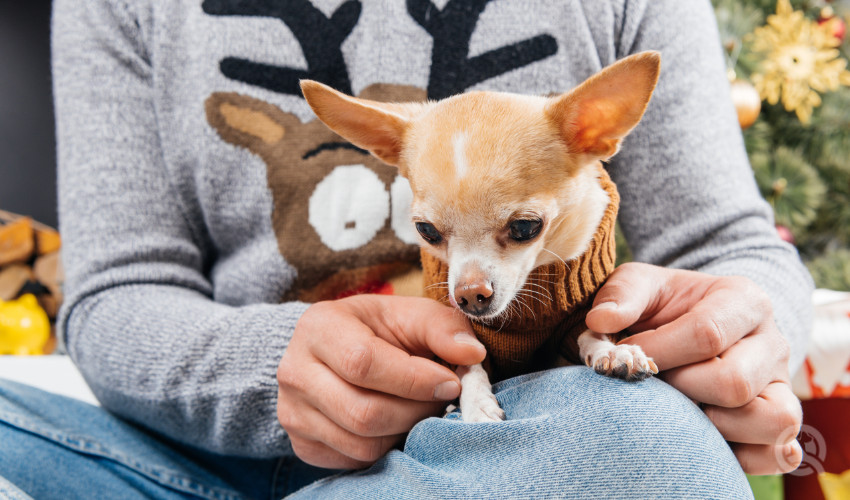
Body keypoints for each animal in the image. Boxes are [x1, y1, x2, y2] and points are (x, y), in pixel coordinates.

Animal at [298, 50, 664, 422]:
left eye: (525, 227)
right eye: (426, 231)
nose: (470, 296)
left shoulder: (579, 315)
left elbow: (590, 329)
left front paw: (612, 351)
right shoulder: (458, 333)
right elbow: (468, 363)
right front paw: (476, 403)